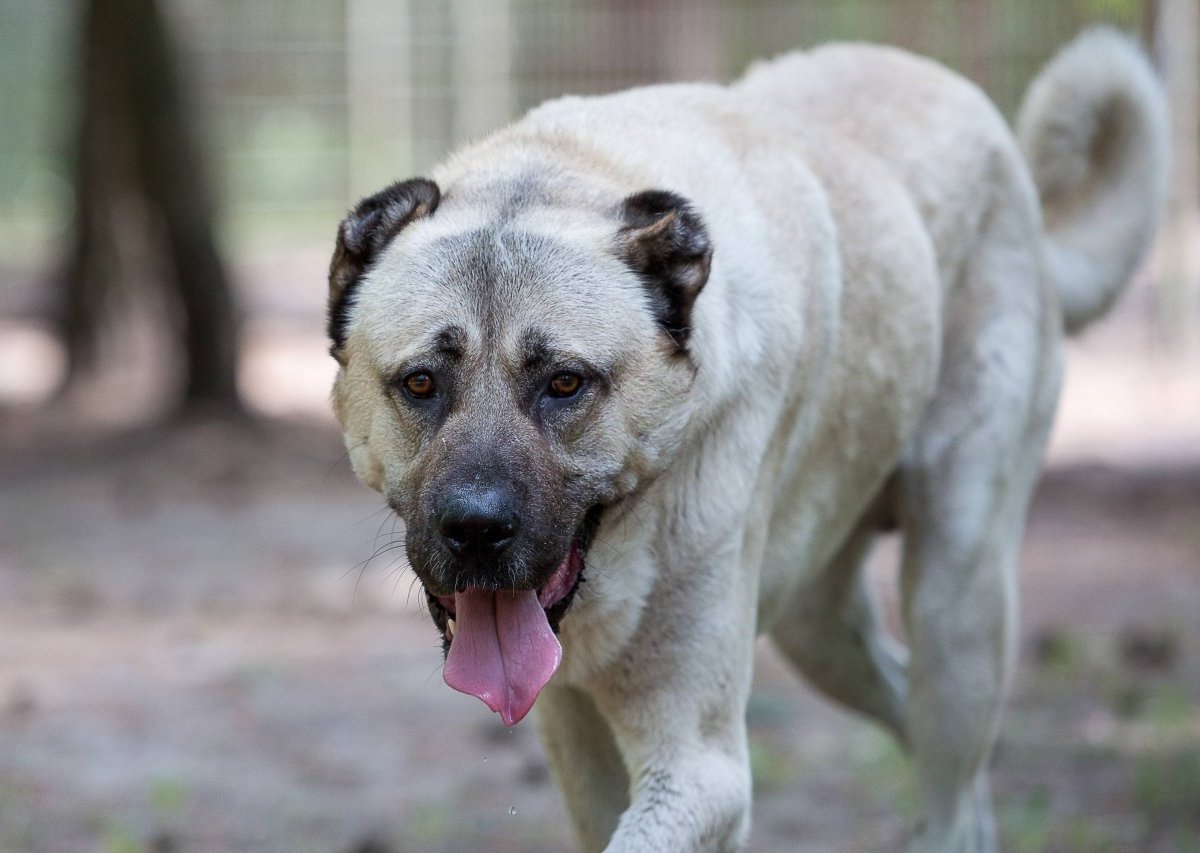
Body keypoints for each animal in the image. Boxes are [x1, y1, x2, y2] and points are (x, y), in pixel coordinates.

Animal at [324, 29, 1166, 849]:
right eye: (421, 383)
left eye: (565, 382)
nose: (475, 528)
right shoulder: (575, 736)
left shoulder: (703, 768)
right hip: (819, 627)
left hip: (957, 602)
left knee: (949, 790)